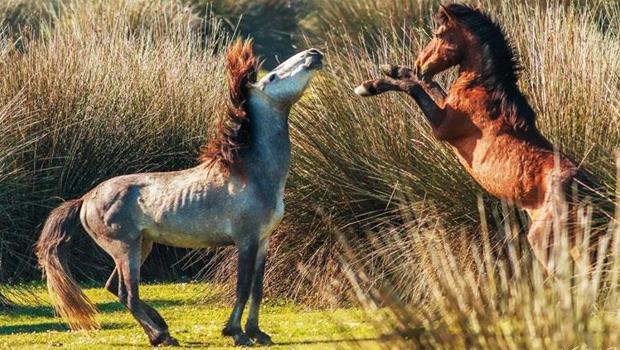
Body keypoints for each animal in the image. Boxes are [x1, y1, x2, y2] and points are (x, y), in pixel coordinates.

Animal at [35, 39, 324, 346]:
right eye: (272, 77)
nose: (314, 54)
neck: (251, 173)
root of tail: (86, 198)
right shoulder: (246, 239)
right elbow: (243, 287)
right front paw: (236, 333)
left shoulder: (263, 241)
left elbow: (257, 289)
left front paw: (257, 333)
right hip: (125, 248)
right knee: (128, 293)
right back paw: (161, 335)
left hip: (142, 245)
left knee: (114, 287)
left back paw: (162, 328)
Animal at [356, 3, 604, 268]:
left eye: (438, 35)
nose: (419, 65)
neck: (485, 91)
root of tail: (590, 192)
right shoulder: (445, 106)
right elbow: (430, 86)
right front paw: (392, 69)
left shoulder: (442, 127)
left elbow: (414, 87)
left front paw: (369, 86)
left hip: (546, 244)